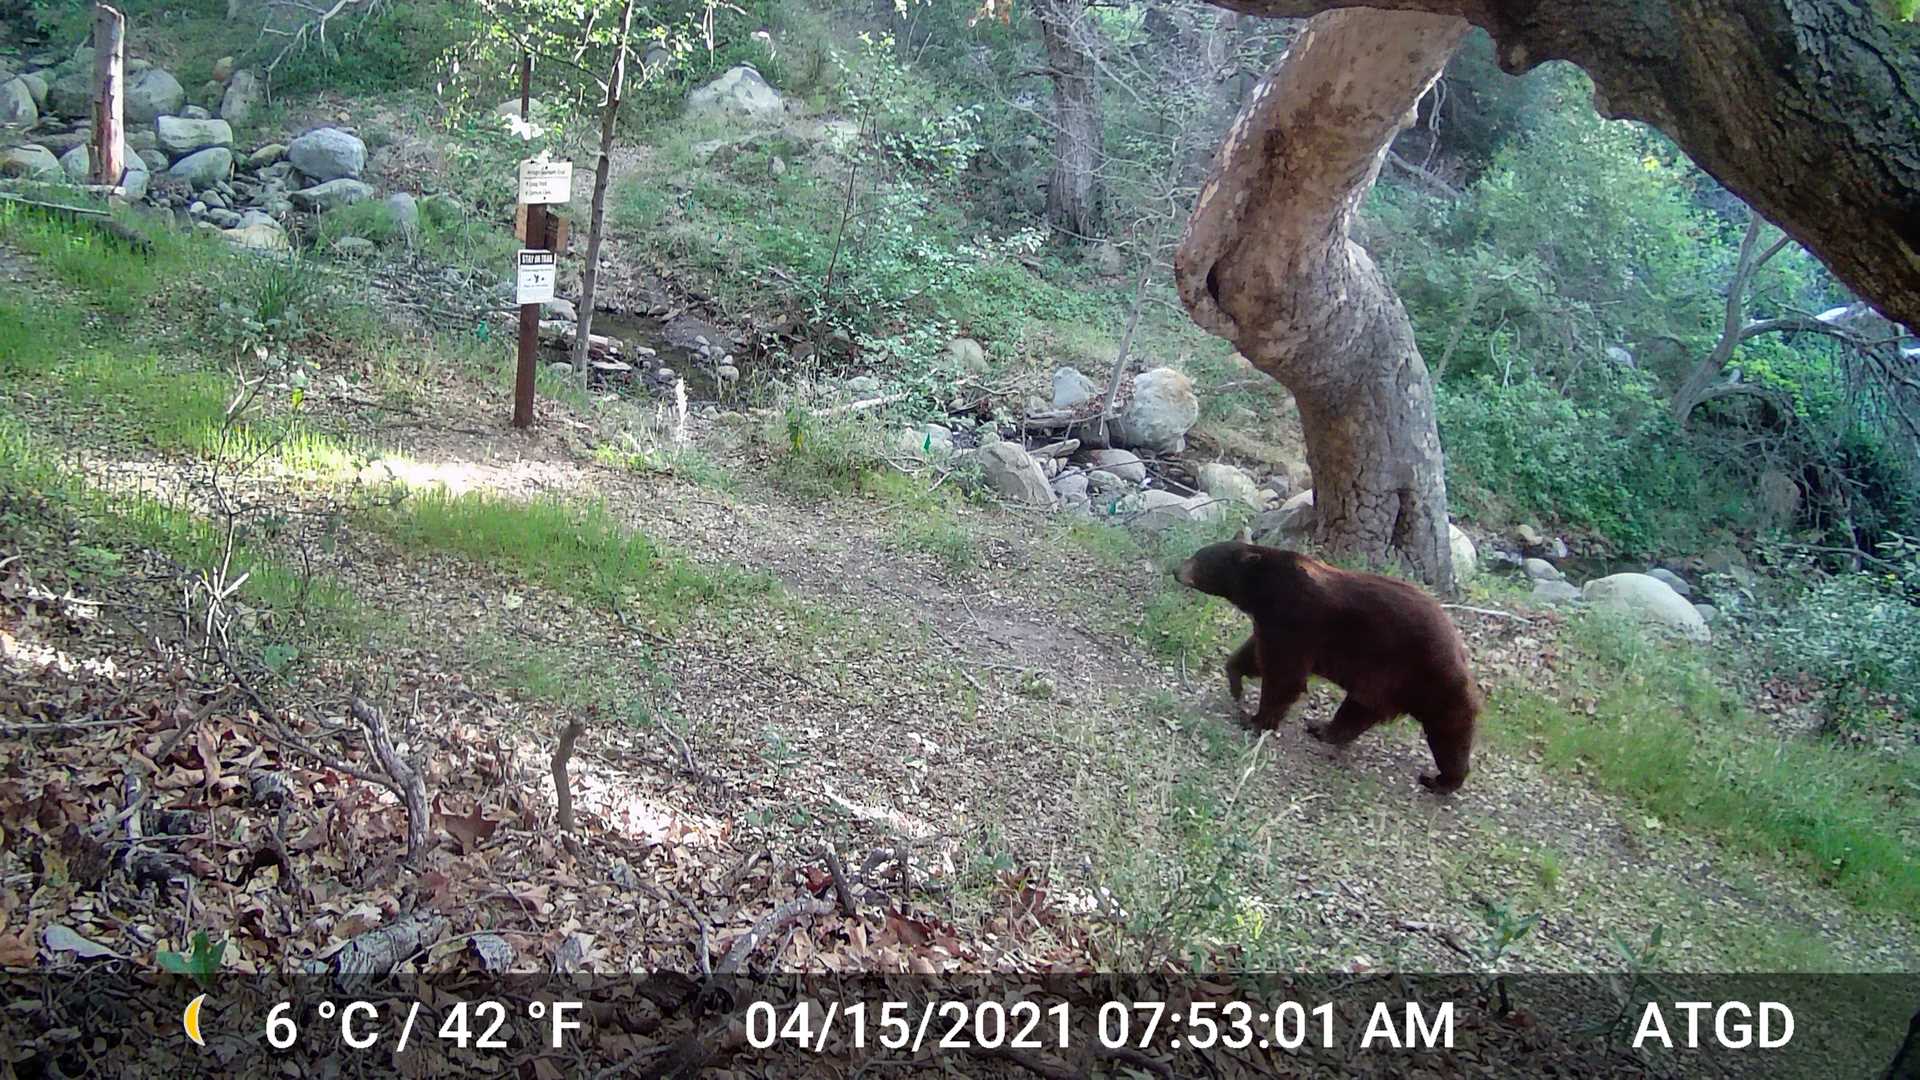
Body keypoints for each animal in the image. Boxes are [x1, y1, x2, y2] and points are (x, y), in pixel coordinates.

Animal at [1175, 542, 1481, 794]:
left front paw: (1255, 720)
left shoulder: (1296, 619)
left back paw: (1442, 779)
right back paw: (1322, 728)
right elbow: (1256, 655)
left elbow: (1284, 674)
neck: (1266, 590)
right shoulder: (1271, 623)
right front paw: (1235, 681)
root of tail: (1459, 649)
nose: (1176, 569)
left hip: (1422, 673)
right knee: (1361, 709)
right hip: (1388, 680)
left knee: (1449, 728)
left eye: (1199, 559)